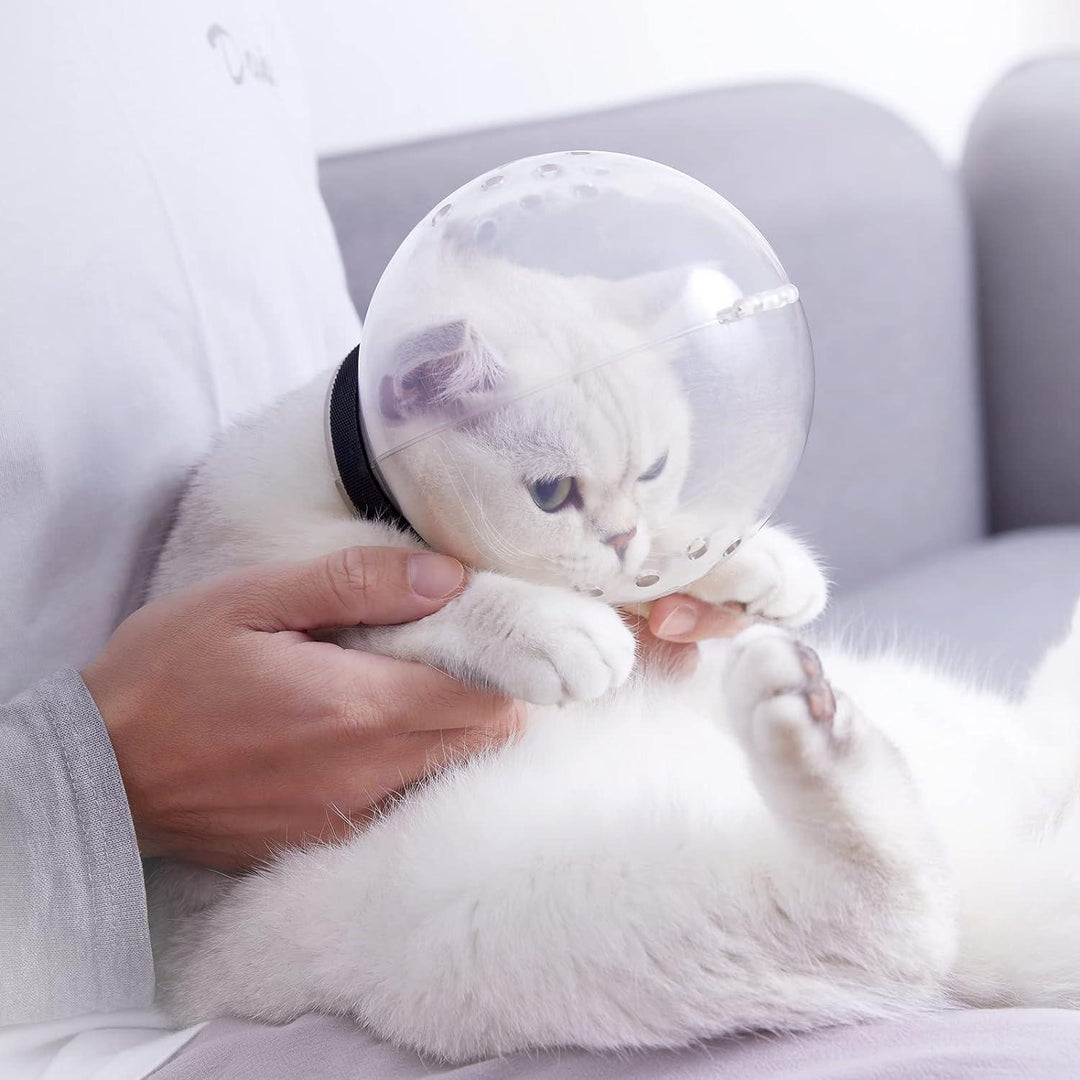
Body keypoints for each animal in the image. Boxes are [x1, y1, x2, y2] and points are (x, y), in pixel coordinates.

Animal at [147, 257, 1080, 1058]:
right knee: (889, 926)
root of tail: (994, 846)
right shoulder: (246, 572)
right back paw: (807, 716)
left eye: (655, 467)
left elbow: (675, 557)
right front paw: (557, 628)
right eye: (552, 493)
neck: (347, 487)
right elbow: (424, 587)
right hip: (493, 920)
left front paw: (754, 565)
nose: (623, 533)